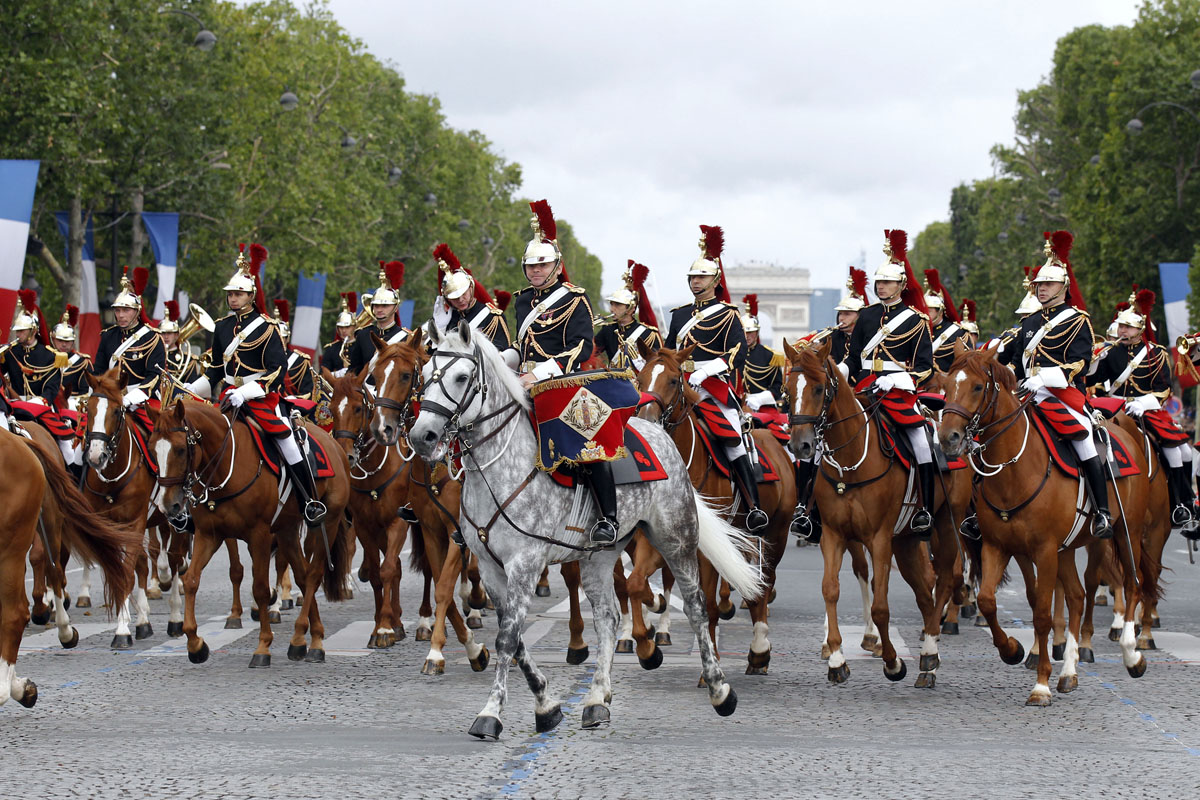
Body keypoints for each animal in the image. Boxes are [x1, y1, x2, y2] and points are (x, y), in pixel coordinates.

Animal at [150, 400, 350, 671]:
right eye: (152, 450)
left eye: (181, 450)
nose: (168, 506)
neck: (225, 466)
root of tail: (334, 445)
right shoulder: (208, 534)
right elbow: (191, 580)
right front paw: (195, 644)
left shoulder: (260, 536)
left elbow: (261, 589)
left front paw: (263, 646)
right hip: (287, 530)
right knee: (302, 575)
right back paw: (305, 639)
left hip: (325, 523)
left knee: (313, 575)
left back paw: (311, 642)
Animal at [398, 321, 763, 743]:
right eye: (424, 376)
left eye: (461, 377)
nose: (422, 436)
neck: (499, 467)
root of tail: (656, 431)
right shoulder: (491, 568)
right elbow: (515, 636)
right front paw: (546, 706)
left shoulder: (525, 563)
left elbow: (508, 637)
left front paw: (490, 713)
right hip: (599, 556)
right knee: (607, 616)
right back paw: (595, 700)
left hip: (676, 538)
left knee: (696, 607)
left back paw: (719, 690)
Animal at [638, 343, 796, 676]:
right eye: (641, 377)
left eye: (674, 380)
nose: (647, 420)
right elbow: (637, 584)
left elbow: (707, 604)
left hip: (776, 534)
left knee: (765, 582)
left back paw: (759, 649)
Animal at [936, 345, 1152, 705]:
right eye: (947, 385)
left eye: (978, 387)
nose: (947, 438)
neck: (1015, 469)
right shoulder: (998, 546)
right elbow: (988, 601)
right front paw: (1012, 650)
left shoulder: (1044, 550)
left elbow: (1041, 613)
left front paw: (1040, 686)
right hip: (1068, 548)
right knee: (1078, 596)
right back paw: (1069, 673)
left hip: (1126, 533)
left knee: (1132, 585)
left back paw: (1132, 655)